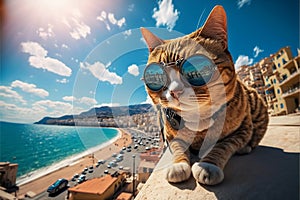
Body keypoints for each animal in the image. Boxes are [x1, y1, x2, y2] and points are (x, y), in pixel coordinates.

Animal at [141, 5, 270, 186]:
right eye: (158, 74)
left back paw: (245, 148)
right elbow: (178, 148)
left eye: (196, 67)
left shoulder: (242, 129)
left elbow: (222, 146)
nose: (174, 90)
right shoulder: (170, 136)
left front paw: (208, 166)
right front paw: (178, 165)